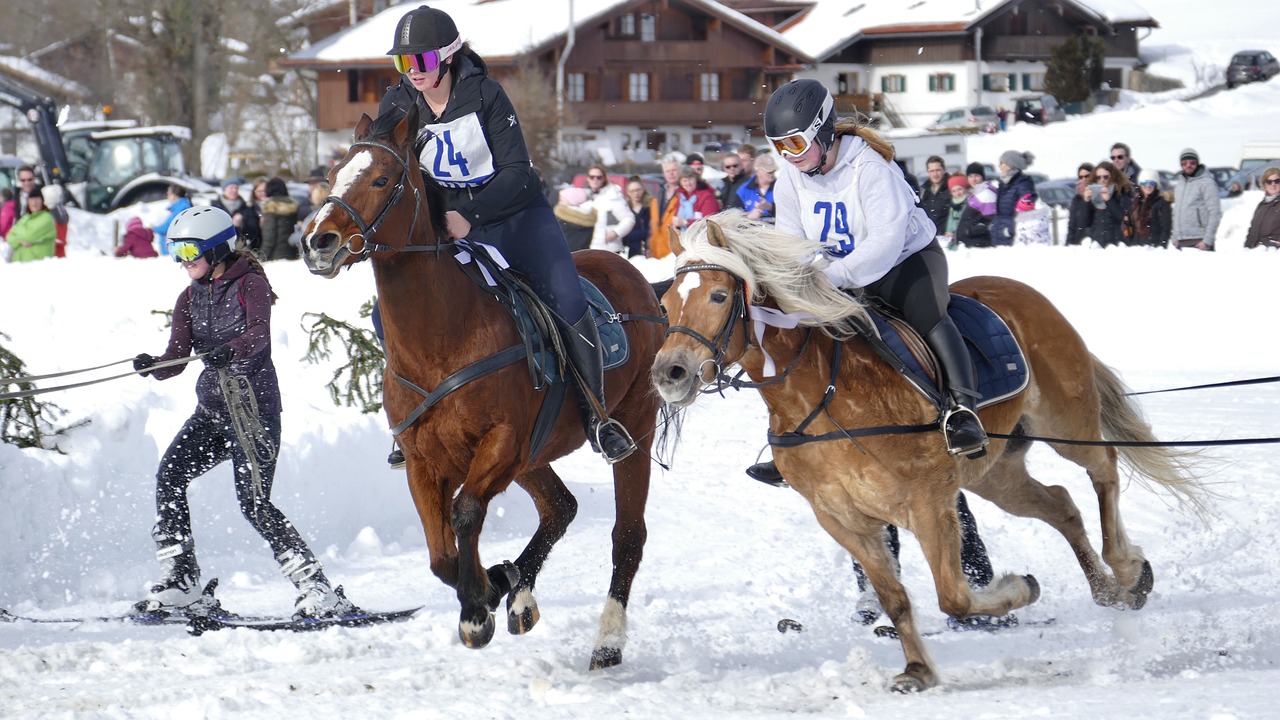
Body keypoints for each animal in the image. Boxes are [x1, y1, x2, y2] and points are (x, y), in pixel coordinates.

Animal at [295, 107, 665, 666]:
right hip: (536, 454)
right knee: (561, 507)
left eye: (382, 179)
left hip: (632, 427)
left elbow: (465, 514)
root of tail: (638, 280)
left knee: (627, 535)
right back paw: (520, 591)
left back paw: (606, 640)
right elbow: (441, 554)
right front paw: (493, 585)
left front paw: (478, 605)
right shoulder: (424, 461)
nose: (318, 242)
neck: (442, 339)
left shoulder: (502, 443)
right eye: (334, 174)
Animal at [655, 211, 1203, 691]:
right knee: (1062, 504)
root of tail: (1025, 294)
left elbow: (954, 597)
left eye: (720, 295)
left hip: (1067, 422)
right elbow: (895, 600)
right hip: (995, 474)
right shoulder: (843, 518)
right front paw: (918, 671)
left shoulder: (928, 502)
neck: (821, 397)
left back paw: (1128, 572)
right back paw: (1109, 590)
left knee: (1103, 470)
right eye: (665, 307)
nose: (670, 373)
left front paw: (1017, 590)